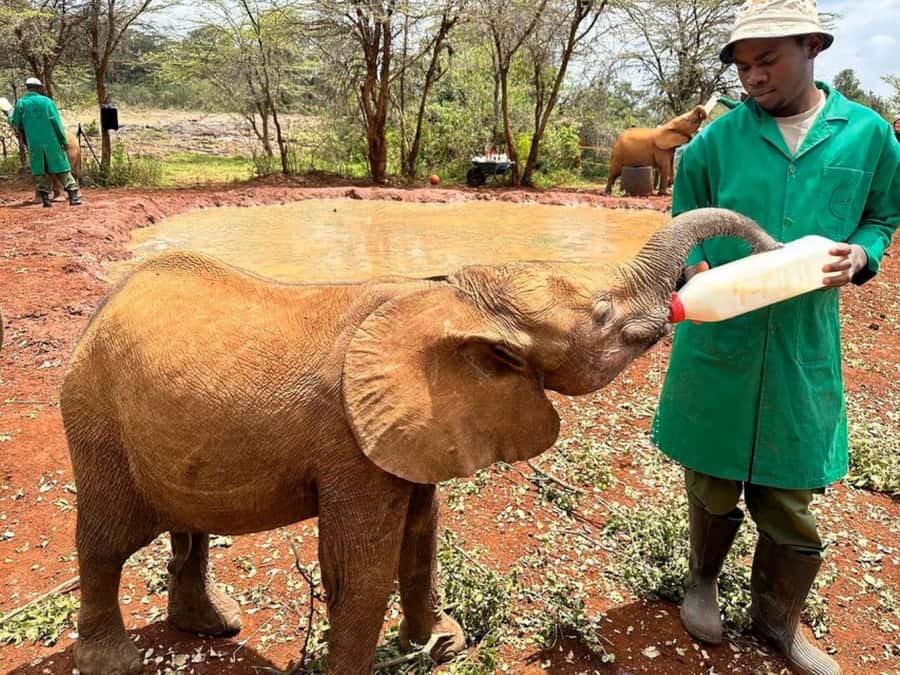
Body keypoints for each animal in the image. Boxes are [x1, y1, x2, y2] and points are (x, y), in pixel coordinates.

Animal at [60, 208, 777, 675]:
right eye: (602, 315)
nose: (769, 246)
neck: (451, 298)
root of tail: (100, 308)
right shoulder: (351, 446)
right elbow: (361, 569)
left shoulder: (415, 431)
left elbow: (421, 539)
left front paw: (445, 644)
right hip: (96, 419)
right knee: (106, 539)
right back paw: (114, 660)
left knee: (190, 529)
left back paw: (211, 625)